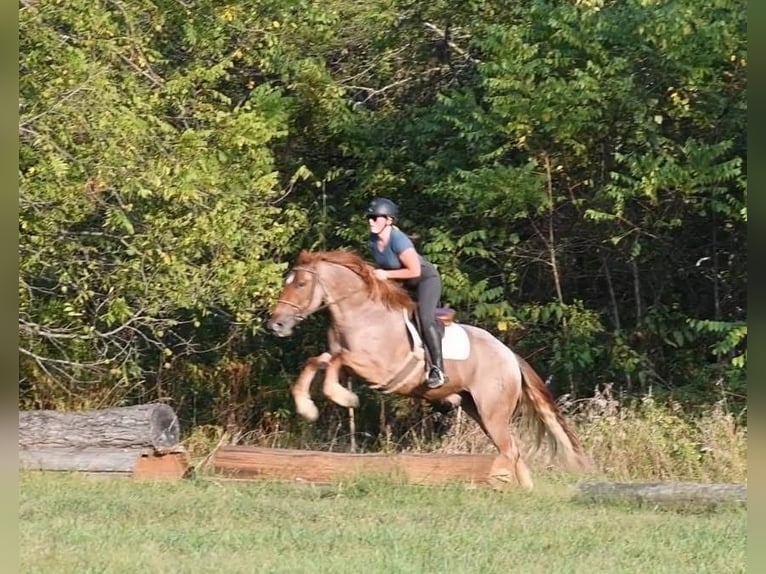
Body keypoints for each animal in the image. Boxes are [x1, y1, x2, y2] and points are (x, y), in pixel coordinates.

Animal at [267, 249, 590, 488]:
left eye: (300, 284)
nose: (276, 324)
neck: (360, 313)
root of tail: (510, 355)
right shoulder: (345, 359)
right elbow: (319, 360)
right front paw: (307, 408)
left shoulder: (378, 369)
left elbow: (336, 362)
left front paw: (344, 397)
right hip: (477, 410)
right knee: (513, 452)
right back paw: (523, 491)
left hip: (493, 411)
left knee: (510, 450)